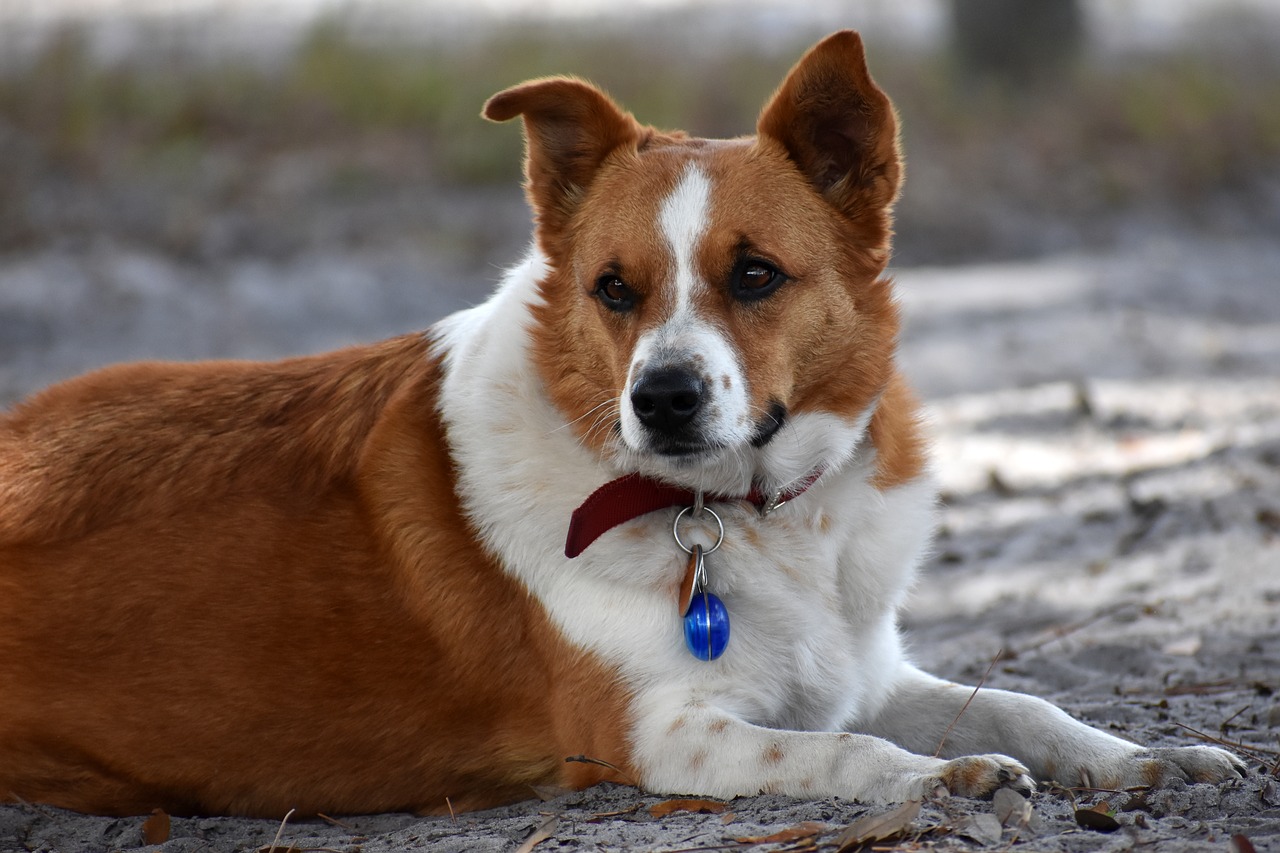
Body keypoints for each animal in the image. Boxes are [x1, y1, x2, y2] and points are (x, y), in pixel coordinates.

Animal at [0, 31, 1239, 819]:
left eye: (754, 274)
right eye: (611, 288)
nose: (663, 397)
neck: (738, 515)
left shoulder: (860, 662)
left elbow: (1022, 703)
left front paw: (1138, 757)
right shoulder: (664, 731)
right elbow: (836, 745)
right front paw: (938, 780)